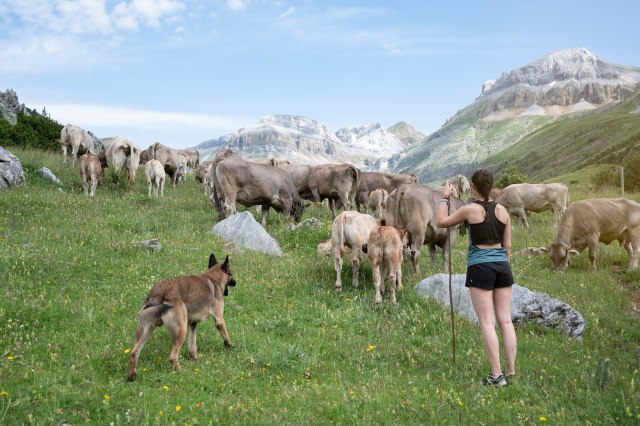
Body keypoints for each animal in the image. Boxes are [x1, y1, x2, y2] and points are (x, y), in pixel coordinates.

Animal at [126, 251, 236, 382]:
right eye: (231, 273)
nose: (235, 282)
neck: (213, 278)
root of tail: (158, 293)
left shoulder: (192, 325)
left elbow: (192, 344)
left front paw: (194, 358)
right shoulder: (219, 319)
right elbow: (225, 335)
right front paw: (230, 346)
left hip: (145, 331)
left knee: (134, 352)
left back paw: (131, 376)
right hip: (181, 331)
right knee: (172, 357)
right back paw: (181, 371)